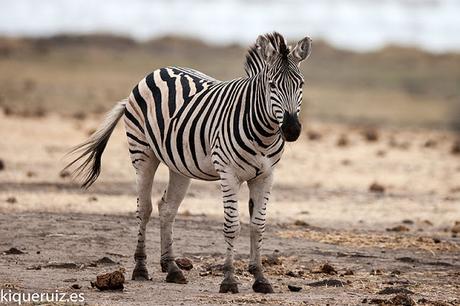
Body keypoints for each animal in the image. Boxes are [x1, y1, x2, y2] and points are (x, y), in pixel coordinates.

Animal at [63, 31, 310, 294]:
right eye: (272, 85)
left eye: (301, 84)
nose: (292, 129)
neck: (263, 133)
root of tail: (158, 70)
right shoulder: (228, 173)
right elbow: (232, 225)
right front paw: (229, 280)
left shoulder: (266, 175)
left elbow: (258, 225)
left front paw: (260, 278)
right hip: (142, 153)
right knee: (144, 208)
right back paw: (140, 268)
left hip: (179, 166)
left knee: (167, 208)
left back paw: (172, 268)